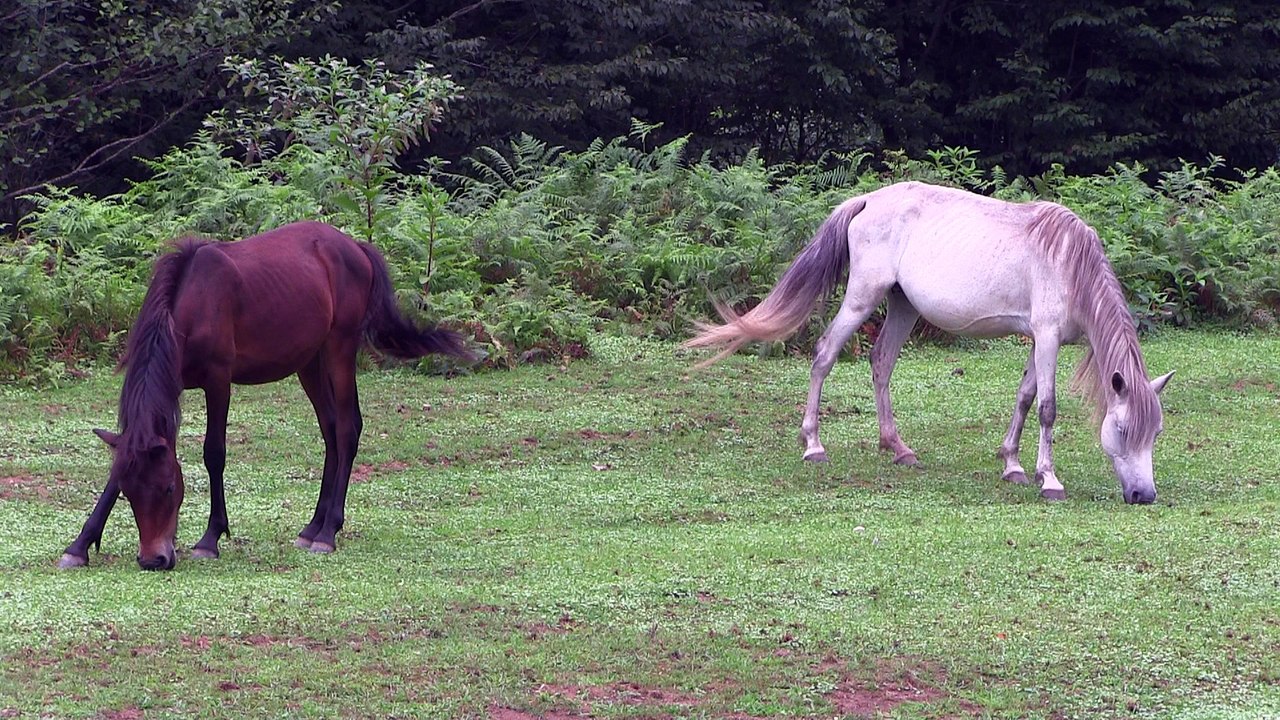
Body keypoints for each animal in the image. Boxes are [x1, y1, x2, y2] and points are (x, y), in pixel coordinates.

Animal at [58, 221, 476, 570]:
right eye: (130, 494)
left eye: (168, 488)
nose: (154, 559)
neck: (193, 303)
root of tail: (355, 246)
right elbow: (120, 466)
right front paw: (79, 546)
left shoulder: (218, 380)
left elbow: (214, 454)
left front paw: (210, 538)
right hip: (309, 362)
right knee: (330, 432)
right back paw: (312, 527)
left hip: (339, 350)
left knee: (347, 429)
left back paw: (328, 532)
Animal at [685, 181, 1174, 504]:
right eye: (1123, 429)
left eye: (1156, 433)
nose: (1144, 494)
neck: (1069, 262)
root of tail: (867, 200)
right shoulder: (1048, 336)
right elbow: (1047, 408)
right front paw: (1049, 480)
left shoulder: (1038, 339)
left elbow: (1024, 397)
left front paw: (1012, 465)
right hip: (863, 296)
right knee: (824, 355)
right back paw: (813, 446)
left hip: (902, 306)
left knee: (881, 362)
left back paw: (897, 448)